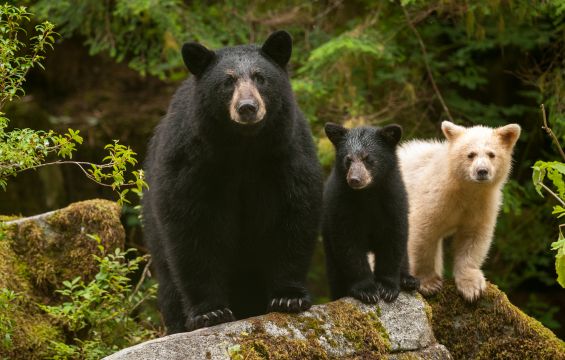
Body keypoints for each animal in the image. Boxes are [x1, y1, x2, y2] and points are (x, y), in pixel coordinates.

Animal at [142, 31, 322, 334]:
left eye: (260, 77)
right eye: (227, 81)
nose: (247, 108)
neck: (243, 148)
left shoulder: (286, 153)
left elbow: (293, 215)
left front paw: (289, 297)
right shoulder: (192, 161)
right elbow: (192, 227)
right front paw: (209, 312)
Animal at [322, 124, 418, 304]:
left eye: (368, 158)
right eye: (348, 159)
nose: (354, 179)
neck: (368, 194)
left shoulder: (394, 201)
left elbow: (393, 240)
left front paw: (387, 288)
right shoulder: (341, 204)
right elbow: (349, 244)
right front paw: (366, 290)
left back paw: (408, 280)